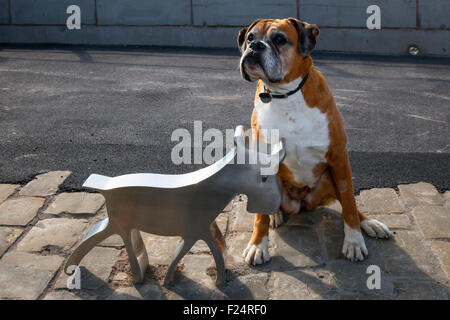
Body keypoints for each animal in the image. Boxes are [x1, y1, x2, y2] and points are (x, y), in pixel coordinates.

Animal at [237, 18, 392, 266]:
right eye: (250, 37)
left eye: (279, 39)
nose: (254, 46)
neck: (286, 95)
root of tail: (302, 202)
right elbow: (259, 217)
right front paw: (258, 245)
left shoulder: (339, 158)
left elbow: (350, 204)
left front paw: (354, 241)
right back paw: (275, 214)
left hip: (331, 178)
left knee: (349, 203)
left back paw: (369, 223)